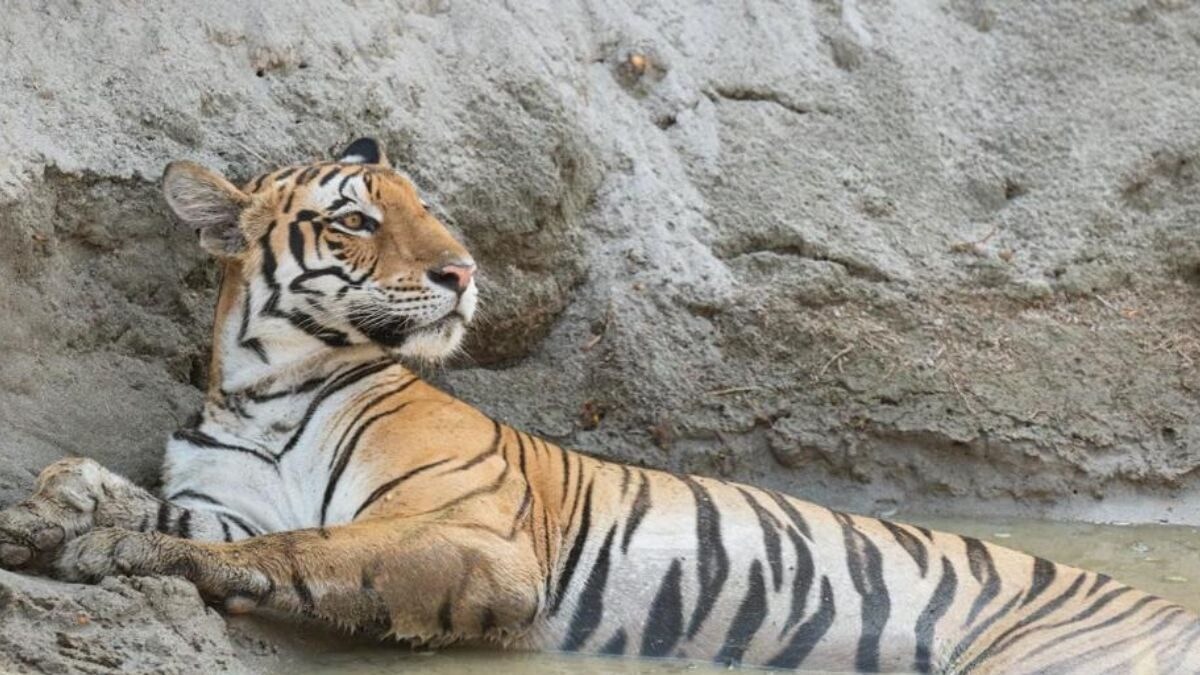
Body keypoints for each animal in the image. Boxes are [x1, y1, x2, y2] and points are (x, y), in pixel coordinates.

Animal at [0, 137, 1196, 674]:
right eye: (355, 221)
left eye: (427, 210)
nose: (463, 271)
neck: (267, 387)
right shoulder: (228, 493)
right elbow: (168, 506)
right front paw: (55, 509)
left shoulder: (474, 538)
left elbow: (307, 549)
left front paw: (107, 550)